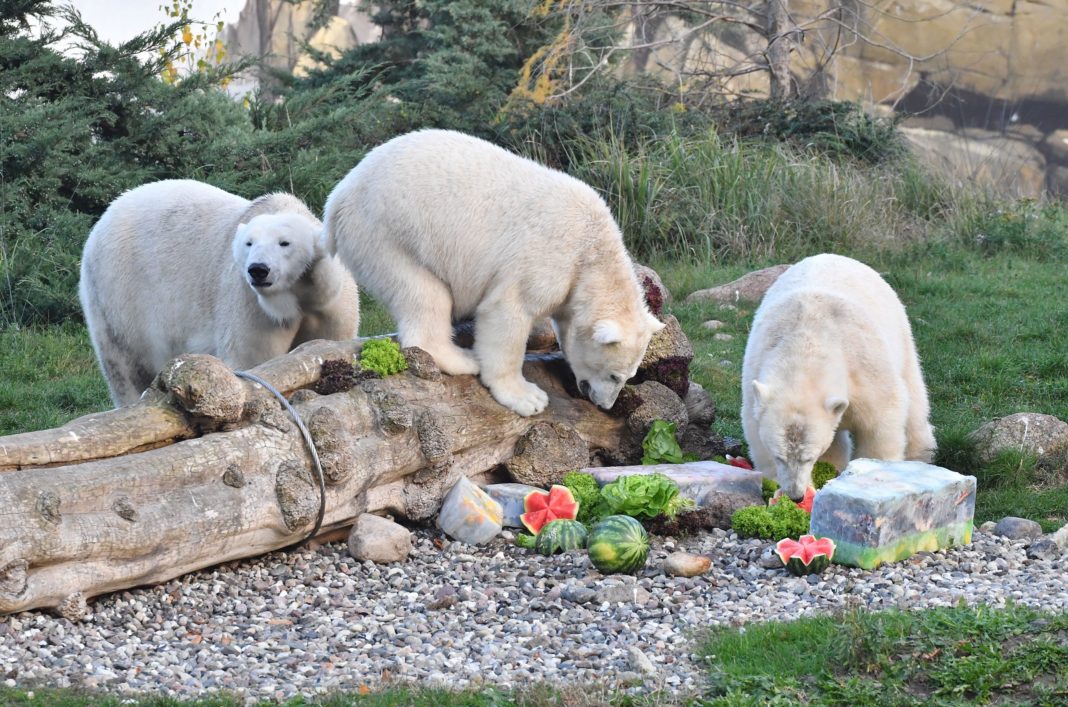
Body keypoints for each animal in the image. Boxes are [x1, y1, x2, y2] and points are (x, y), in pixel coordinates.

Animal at [79, 180, 360, 407]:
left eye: (284, 243)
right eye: (249, 243)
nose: (258, 270)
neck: (297, 296)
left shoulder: (332, 304)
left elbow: (328, 342)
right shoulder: (248, 303)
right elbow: (254, 360)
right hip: (117, 297)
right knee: (126, 366)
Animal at [320, 129, 662, 418]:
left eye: (630, 375)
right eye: (614, 374)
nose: (605, 404)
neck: (591, 251)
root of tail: (338, 198)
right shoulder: (546, 258)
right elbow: (508, 312)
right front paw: (527, 397)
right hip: (388, 234)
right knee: (425, 294)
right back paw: (462, 359)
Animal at [743, 253, 935, 497]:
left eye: (808, 458)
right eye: (779, 457)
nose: (796, 495)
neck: (806, 343)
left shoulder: (864, 368)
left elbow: (880, 421)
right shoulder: (756, 371)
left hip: (900, 332)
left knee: (914, 397)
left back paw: (921, 452)